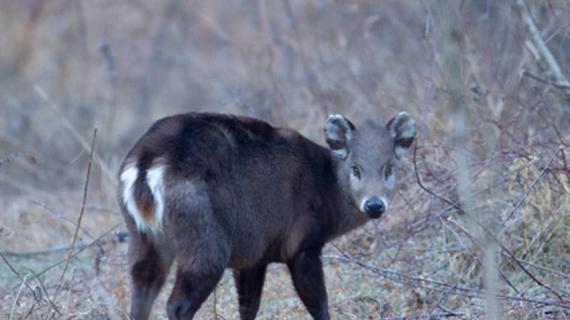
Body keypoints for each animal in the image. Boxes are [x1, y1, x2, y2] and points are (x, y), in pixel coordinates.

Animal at [117, 111, 414, 318]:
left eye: (389, 167)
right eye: (356, 168)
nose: (374, 205)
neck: (325, 187)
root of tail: (146, 164)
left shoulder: (253, 256)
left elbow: (249, 309)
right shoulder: (301, 244)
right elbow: (319, 305)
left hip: (143, 237)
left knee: (140, 297)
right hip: (204, 237)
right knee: (177, 305)